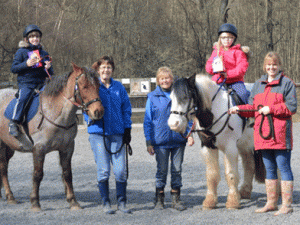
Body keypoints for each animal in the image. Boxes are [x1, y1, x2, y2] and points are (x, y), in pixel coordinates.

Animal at [0, 62, 104, 211]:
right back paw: (10, 196)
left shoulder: (67, 148)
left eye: (98, 85)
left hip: (9, 147)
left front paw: (73, 201)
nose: (98, 111)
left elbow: (67, 173)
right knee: (3, 169)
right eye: (84, 86)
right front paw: (35, 202)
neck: (56, 113)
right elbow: (38, 174)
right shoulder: (39, 149)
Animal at [168, 74, 264, 209]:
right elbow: (211, 175)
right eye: (171, 98)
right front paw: (210, 202)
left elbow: (231, 174)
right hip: (244, 145)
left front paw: (233, 202)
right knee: (249, 165)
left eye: (186, 97)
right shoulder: (208, 147)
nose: (173, 124)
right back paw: (245, 191)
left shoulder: (230, 148)